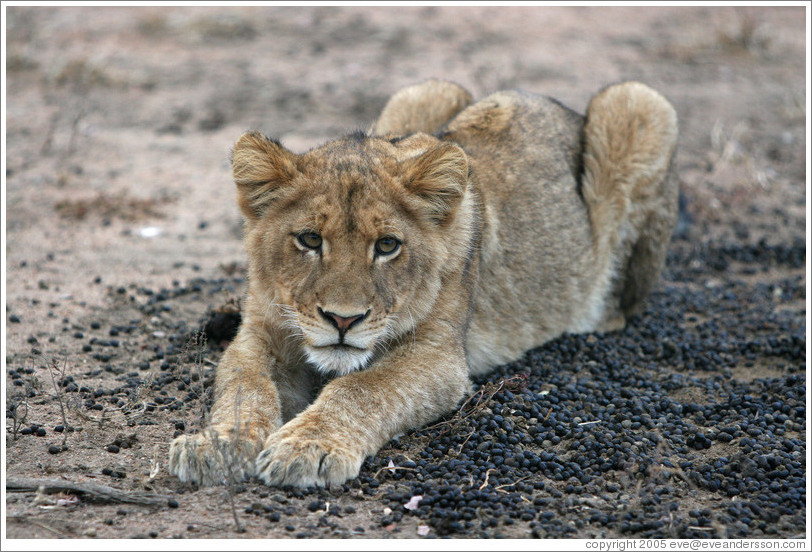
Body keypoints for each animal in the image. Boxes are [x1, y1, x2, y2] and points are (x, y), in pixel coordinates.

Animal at [169, 79, 679, 488]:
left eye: (387, 245)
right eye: (310, 239)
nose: (342, 321)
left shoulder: (439, 357)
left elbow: (361, 388)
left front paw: (308, 447)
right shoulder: (260, 333)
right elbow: (243, 384)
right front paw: (216, 444)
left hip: (639, 103)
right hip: (425, 91)